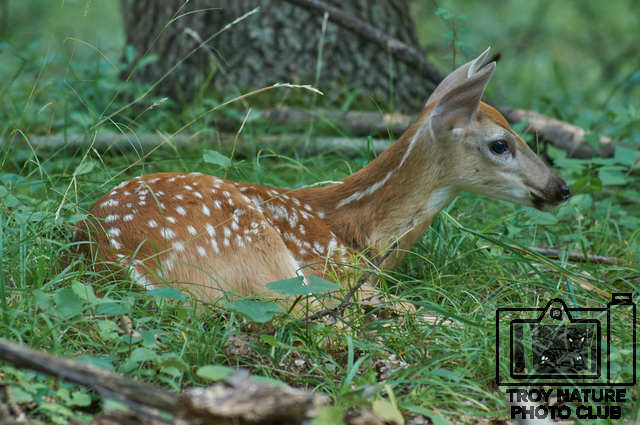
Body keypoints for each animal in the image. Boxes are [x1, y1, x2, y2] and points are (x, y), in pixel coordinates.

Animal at [79, 48, 570, 310]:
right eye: (500, 144)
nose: (561, 188)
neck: (358, 227)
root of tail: (115, 256)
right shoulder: (333, 268)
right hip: (257, 247)